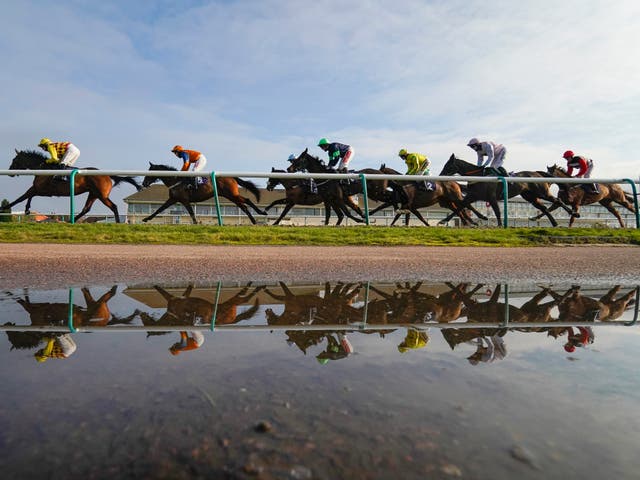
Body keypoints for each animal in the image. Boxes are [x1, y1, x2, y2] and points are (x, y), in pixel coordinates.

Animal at [4, 150, 140, 223]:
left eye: (14, 160)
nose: (10, 171)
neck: (43, 168)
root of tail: (107, 175)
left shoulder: (42, 190)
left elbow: (22, 197)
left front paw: (4, 207)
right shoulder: (39, 189)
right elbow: (27, 196)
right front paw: (26, 209)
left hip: (101, 195)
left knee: (113, 206)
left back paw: (117, 222)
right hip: (93, 194)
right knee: (86, 209)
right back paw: (70, 221)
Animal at [440, 155, 568, 228]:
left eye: (448, 165)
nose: (440, 176)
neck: (479, 176)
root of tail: (537, 173)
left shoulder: (491, 198)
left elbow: (497, 211)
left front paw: (500, 225)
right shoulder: (473, 196)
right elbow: (460, 207)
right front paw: (444, 220)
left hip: (542, 193)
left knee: (558, 201)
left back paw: (571, 213)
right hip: (531, 197)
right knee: (545, 208)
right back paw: (555, 223)